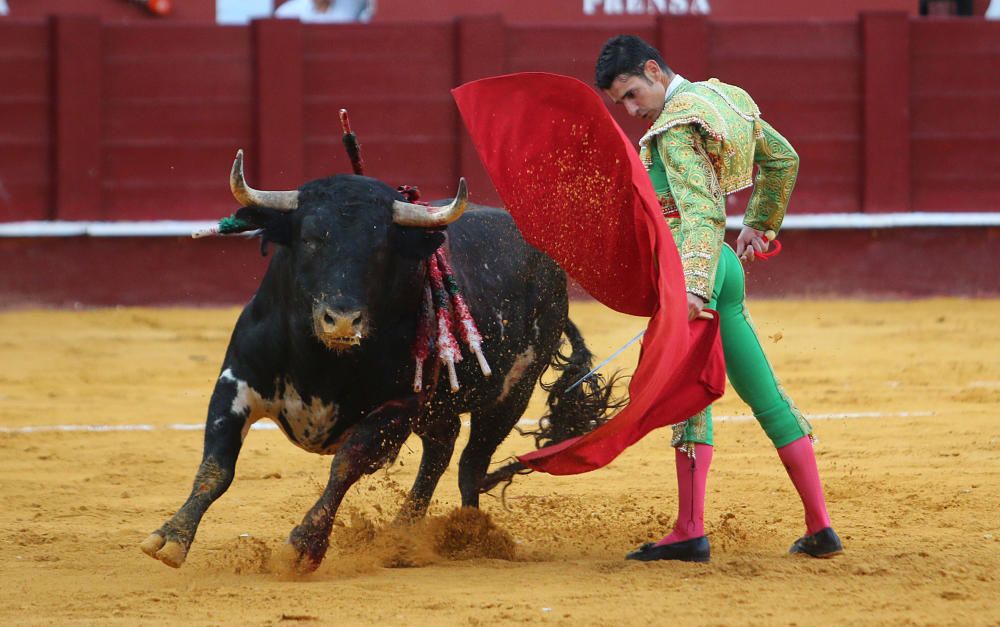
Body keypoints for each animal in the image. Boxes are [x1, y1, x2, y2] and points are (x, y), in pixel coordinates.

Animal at [137, 152, 612, 576]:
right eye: (311, 238)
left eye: (381, 248)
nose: (343, 319)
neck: (321, 361)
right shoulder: (235, 381)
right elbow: (217, 465)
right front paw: (171, 538)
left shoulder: (397, 408)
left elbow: (345, 465)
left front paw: (303, 547)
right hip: (439, 407)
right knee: (441, 449)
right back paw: (402, 536)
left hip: (510, 395)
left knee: (469, 464)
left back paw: (466, 536)